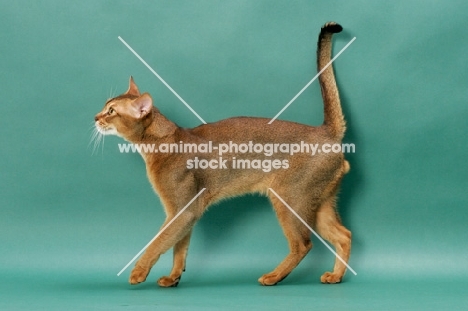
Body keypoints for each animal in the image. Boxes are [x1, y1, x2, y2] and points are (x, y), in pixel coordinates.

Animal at [94, 22, 352, 288]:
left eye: (111, 111)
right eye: (105, 106)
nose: (95, 117)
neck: (160, 142)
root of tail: (325, 131)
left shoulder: (181, 210)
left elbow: (158, 242)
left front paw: (138, 272)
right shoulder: (185, 212)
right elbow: (179, 248)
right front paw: (174, 277)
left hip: (290, 198)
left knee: (303, 244)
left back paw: (273, 276)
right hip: (319, 201)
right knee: (344, 235)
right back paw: (335, 276)